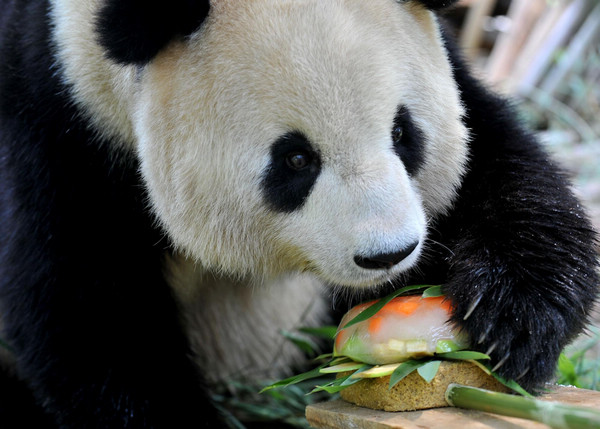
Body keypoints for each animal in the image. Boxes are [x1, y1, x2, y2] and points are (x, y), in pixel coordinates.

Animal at [0, 0, 596, 426]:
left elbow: (501, 166)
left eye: (403, 133)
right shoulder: (54, 125)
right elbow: (86, 317)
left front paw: (514, 320)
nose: (390, 255)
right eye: (296, 159)